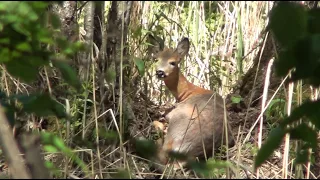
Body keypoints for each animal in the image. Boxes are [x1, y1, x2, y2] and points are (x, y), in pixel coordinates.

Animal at [152, 36, 235, 169]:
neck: (187, 92)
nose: (160, 72)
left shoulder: (172, 112)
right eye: (156, 59)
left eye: (173, 62)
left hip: (177, 123)